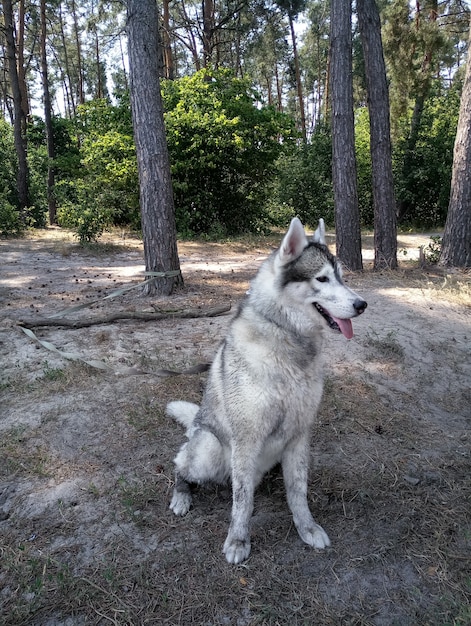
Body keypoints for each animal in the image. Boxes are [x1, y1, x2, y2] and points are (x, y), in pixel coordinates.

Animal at [167, 217, 368, 564]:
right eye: (322, 278)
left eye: (342, 277)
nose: (362, 304)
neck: (289, 342)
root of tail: (195, 424)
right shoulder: (247, 439)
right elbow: (242, 502)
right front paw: (238, 540)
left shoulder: (300, 435)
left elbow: (297, 491)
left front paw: (307, 528)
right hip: (208, 450)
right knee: (181, 466)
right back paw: (181, 496)